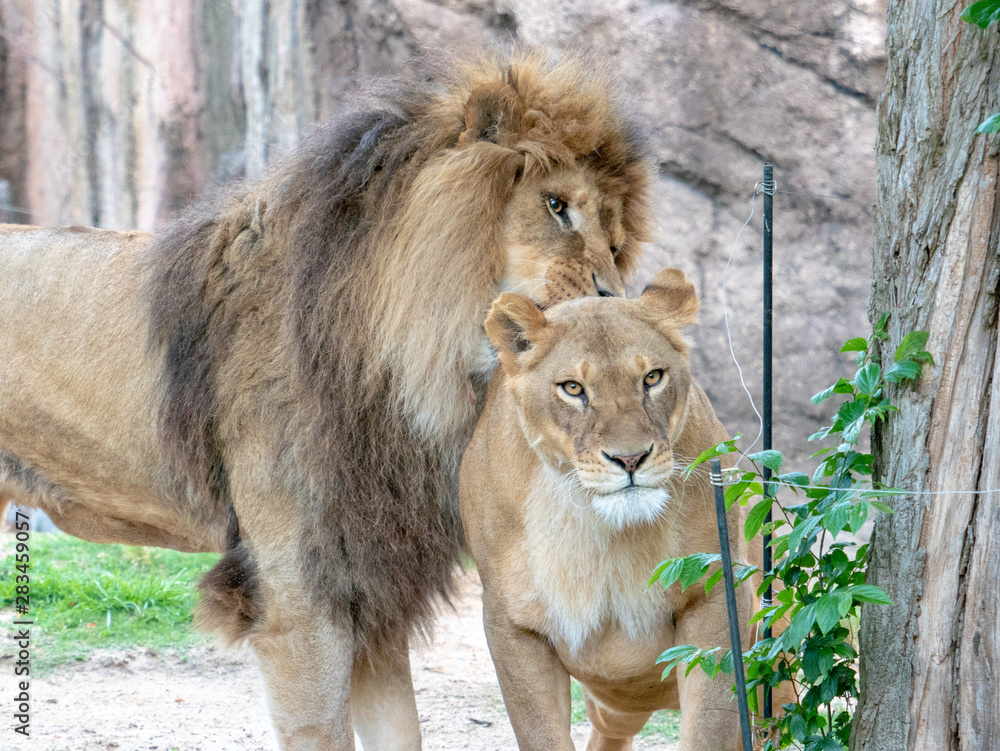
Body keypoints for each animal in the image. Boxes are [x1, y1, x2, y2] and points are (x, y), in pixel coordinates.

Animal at [0, 49, 652, 749]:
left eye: (615, 241)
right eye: (556, 205)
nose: (614, 301)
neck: (409, 366)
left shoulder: (373, 576)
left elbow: (402, 732)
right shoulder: (298, 595)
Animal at [459, 268, 754, 751]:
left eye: (652, 377)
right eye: (573, 388)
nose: (630, 459)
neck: (596, 525)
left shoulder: (714, 591)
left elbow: (710, 722)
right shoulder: (511, 622)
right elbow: (540, 733)